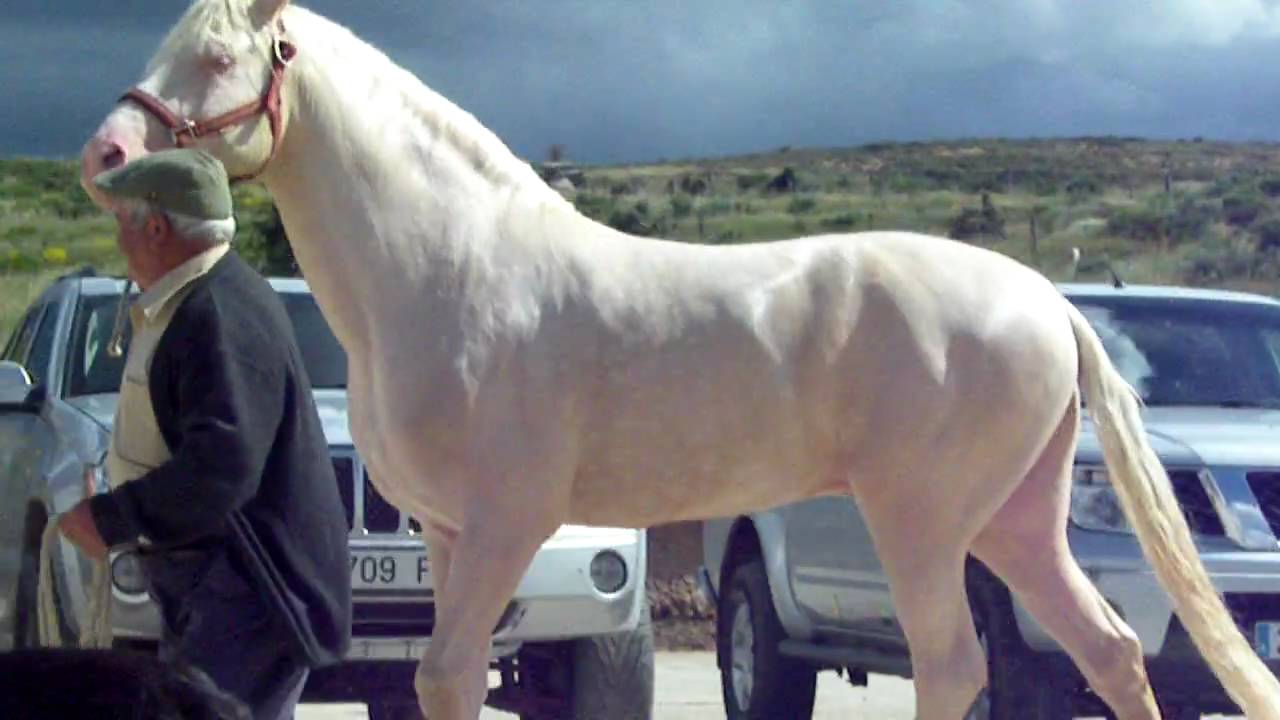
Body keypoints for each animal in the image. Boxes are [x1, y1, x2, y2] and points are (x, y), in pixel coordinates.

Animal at [76, 1, 1280, 718]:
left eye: (218, 55)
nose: (105, 154)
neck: (450, 266)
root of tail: (1047, 303)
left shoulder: (510, 521)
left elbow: (446, 671)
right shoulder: (451, 533)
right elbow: (439, 678)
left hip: (926, 526)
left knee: (957, 666)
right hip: (1015, 523)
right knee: (1110, 648)